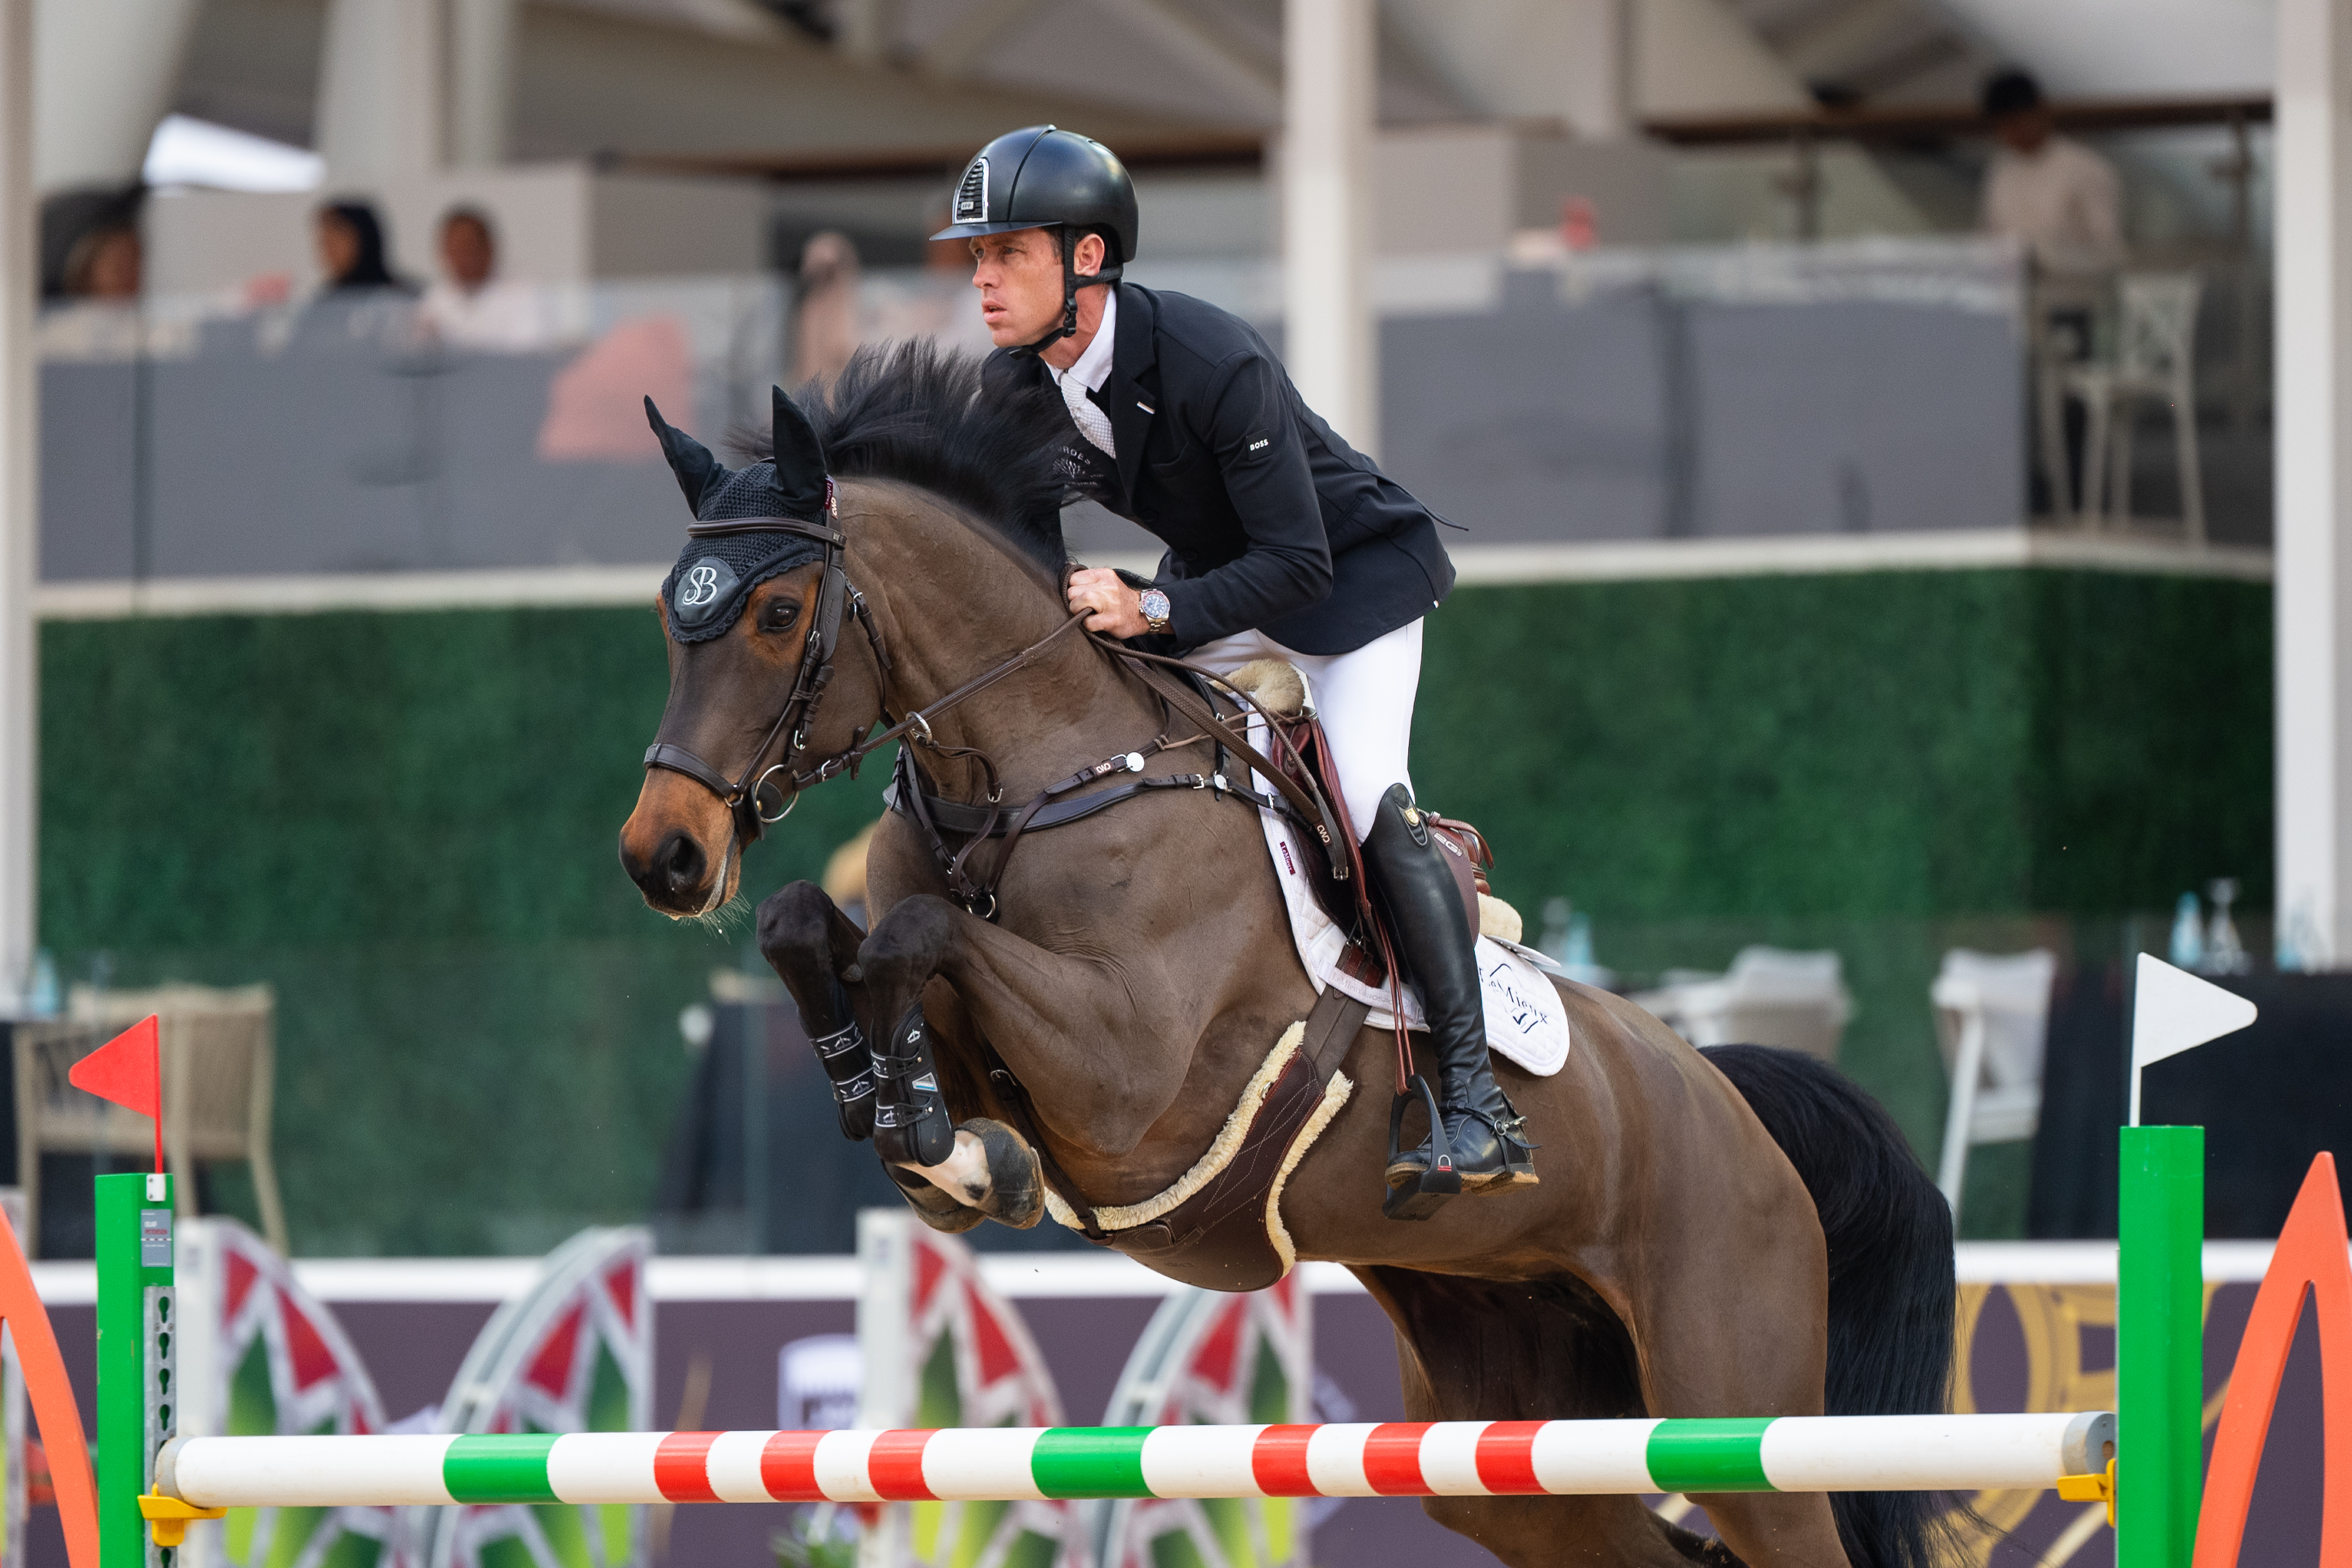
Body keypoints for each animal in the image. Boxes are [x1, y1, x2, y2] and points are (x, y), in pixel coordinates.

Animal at [619, 343, 1958, 1568]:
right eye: (667, 623)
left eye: (778, 613)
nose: (664, 856)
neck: (1025, 775)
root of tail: (1726, 1091)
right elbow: (815, 922)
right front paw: (916, 1125)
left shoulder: (1127, 1079)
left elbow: (921, 934)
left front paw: (945, 1143)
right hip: (1517, 1454)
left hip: (1735, 1405)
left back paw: (1473, 1132)